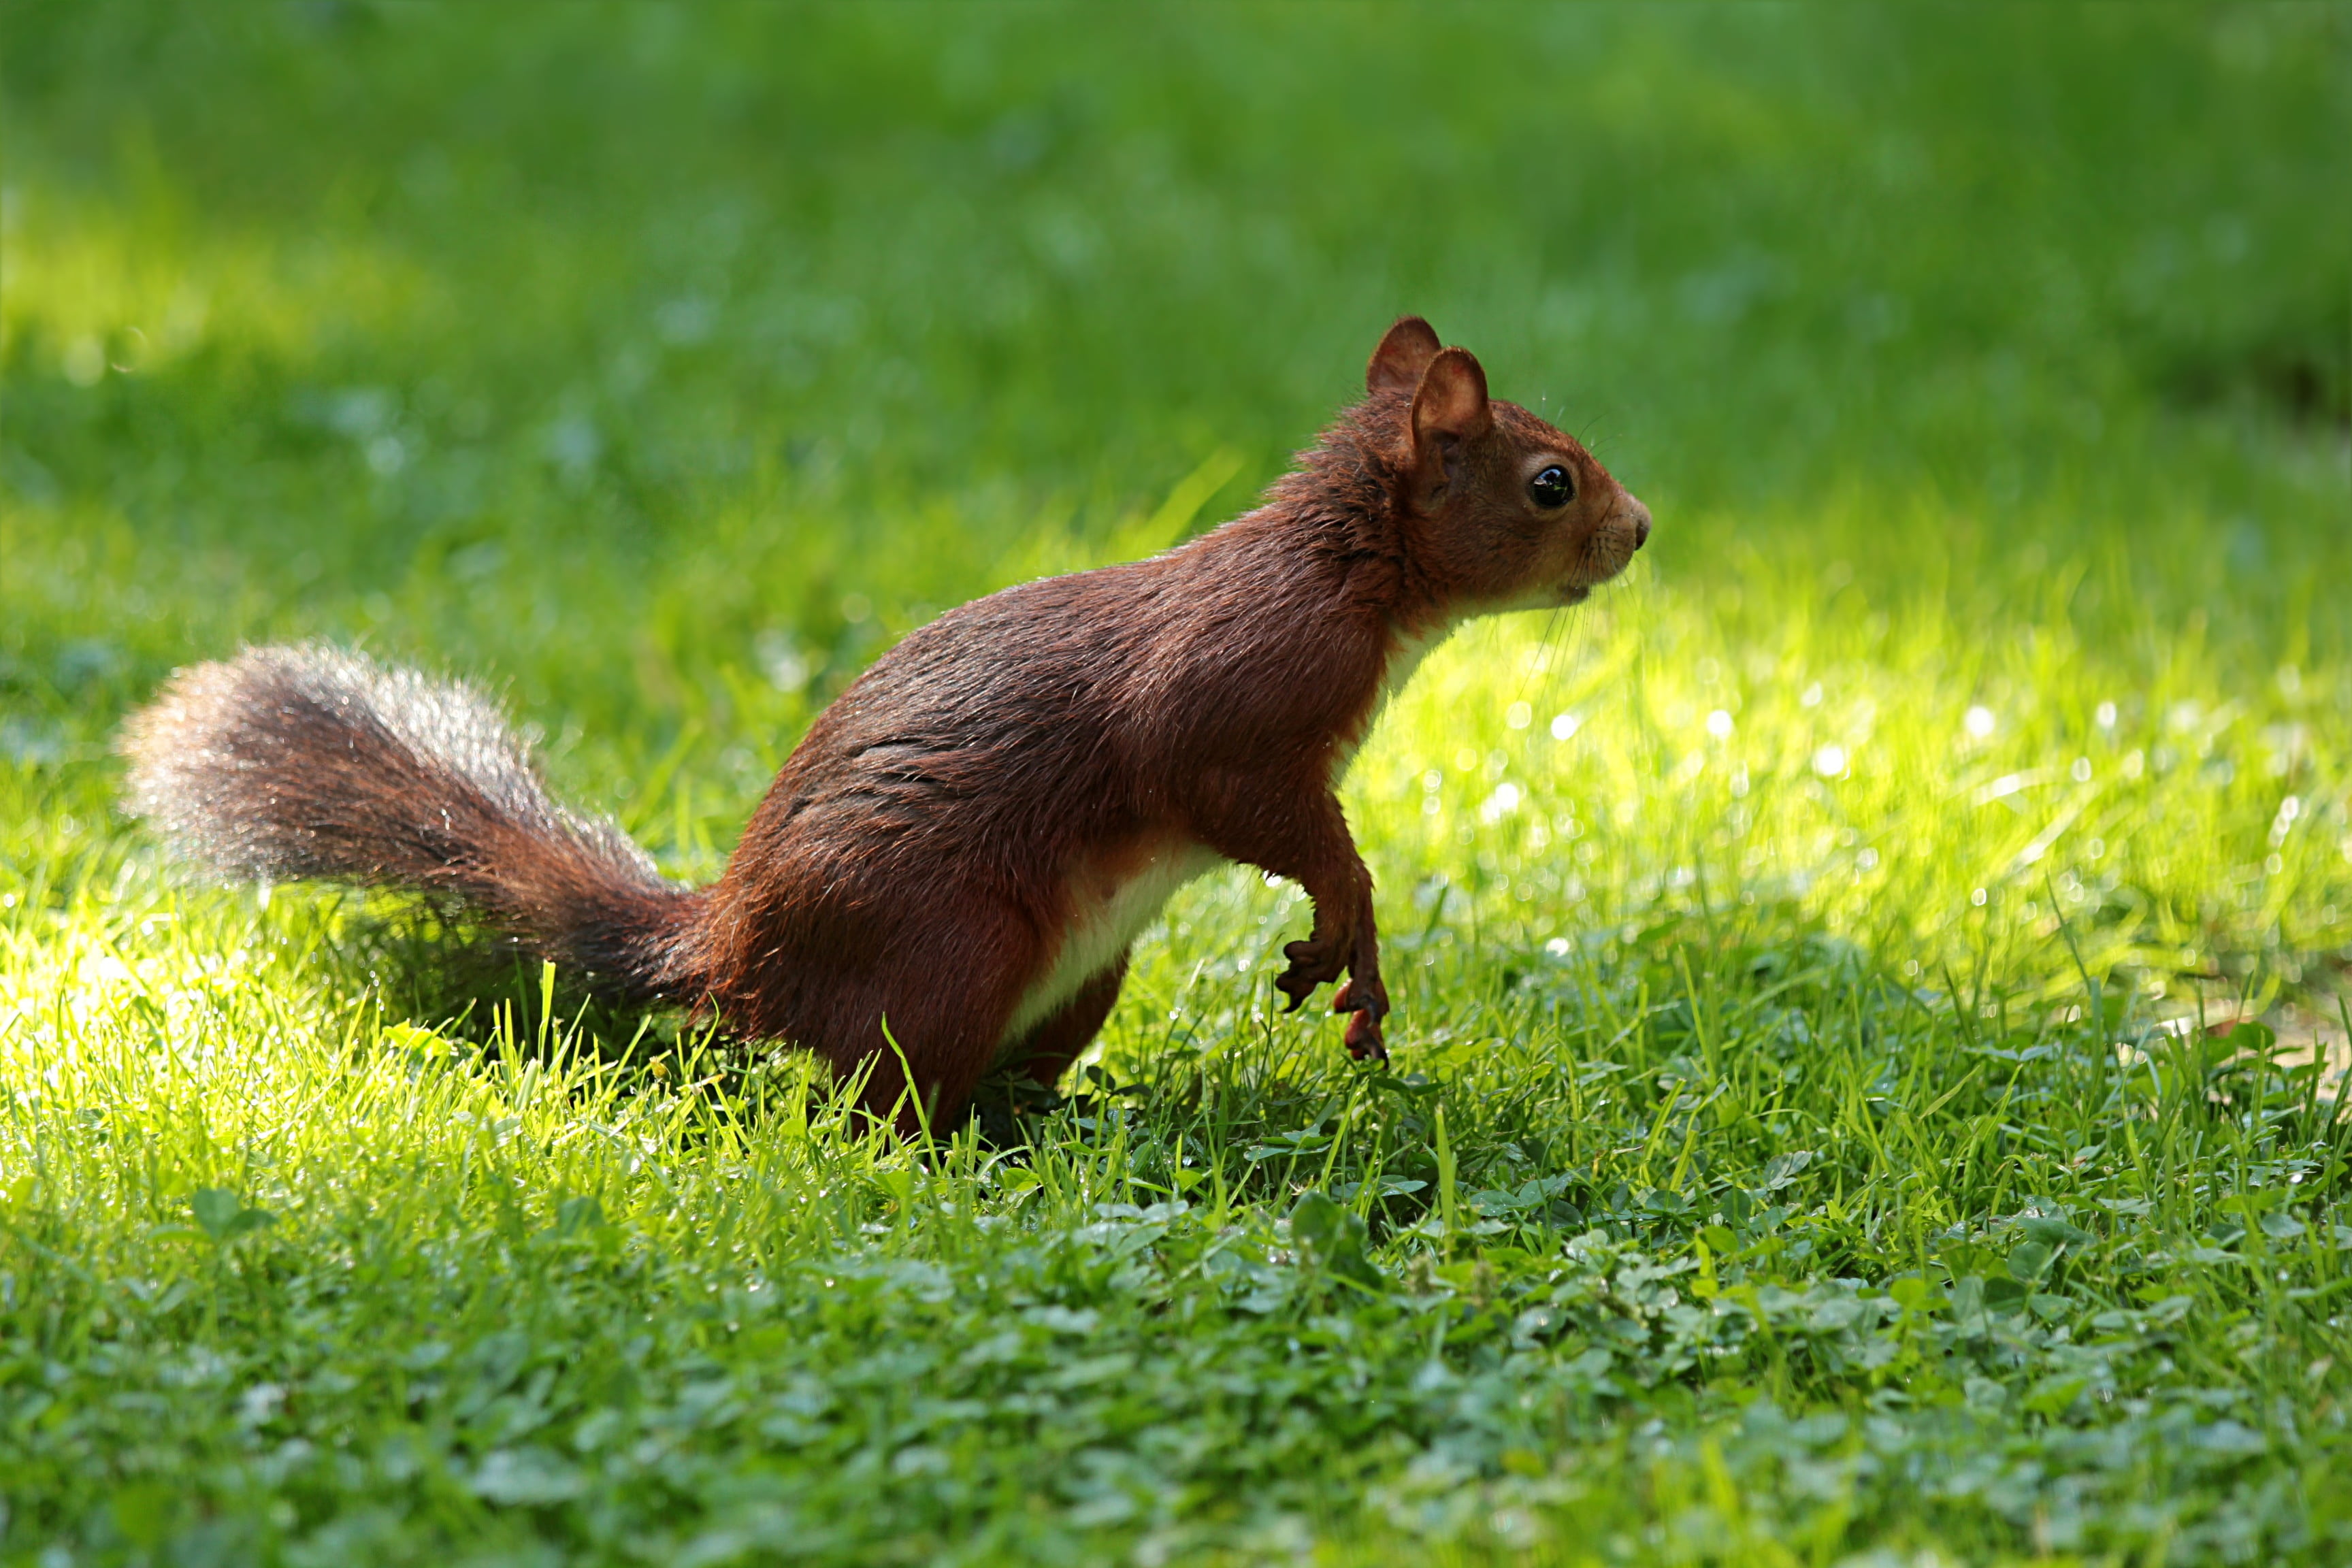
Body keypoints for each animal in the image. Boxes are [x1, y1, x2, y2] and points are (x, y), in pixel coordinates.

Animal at [122, 318, 1651, 1127]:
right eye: (1552, 482)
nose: (1639, 530)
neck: (1350, 573)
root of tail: (732, 954)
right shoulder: (1236, 703)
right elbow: (1276, 818)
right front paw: (1350, 927)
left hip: (1080, 973)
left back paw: (1065, 1115)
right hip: (954, 944)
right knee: (874, 1102)